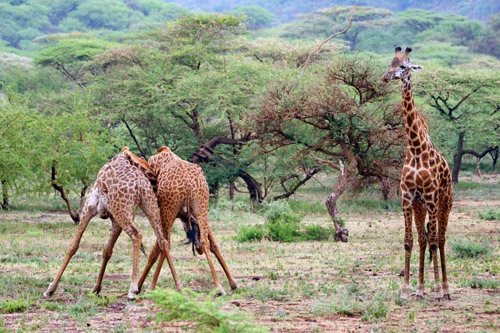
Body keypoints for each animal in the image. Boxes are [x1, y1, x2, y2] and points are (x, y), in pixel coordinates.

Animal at [44, 148, 178, 300]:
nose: (156, 181)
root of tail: (140, 185)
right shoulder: (115, 219)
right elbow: (107, 250)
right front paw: (96, 289)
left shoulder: (90, 206)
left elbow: (73, 246)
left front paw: (50, 289)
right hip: (147, 206)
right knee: (163, 241)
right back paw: (178, 286)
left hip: (123, 211)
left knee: (137, 235)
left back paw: (132, 289)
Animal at [137, 145, 238, 294]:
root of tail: (186, 179)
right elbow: (213, 243)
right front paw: (233, 283)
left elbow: (157, 248)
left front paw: (141, 287)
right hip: (201, 205)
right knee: (205, 241)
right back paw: (219, 287)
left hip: (169, 209)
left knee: (164, 243)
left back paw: (153, 286)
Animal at [382, 45, 454, 300]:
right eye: (390, 64)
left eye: (404, 66)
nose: (385, 77)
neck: (415, 148)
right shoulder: (407, 197)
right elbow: (409, 241)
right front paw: (405, 290)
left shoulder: (431, 197)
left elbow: (434, 241)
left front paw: (438, 290)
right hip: (420, 205)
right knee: (424, 239)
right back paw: (421, 288)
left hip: (444, 202)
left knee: (440, 239)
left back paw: (444, 288)